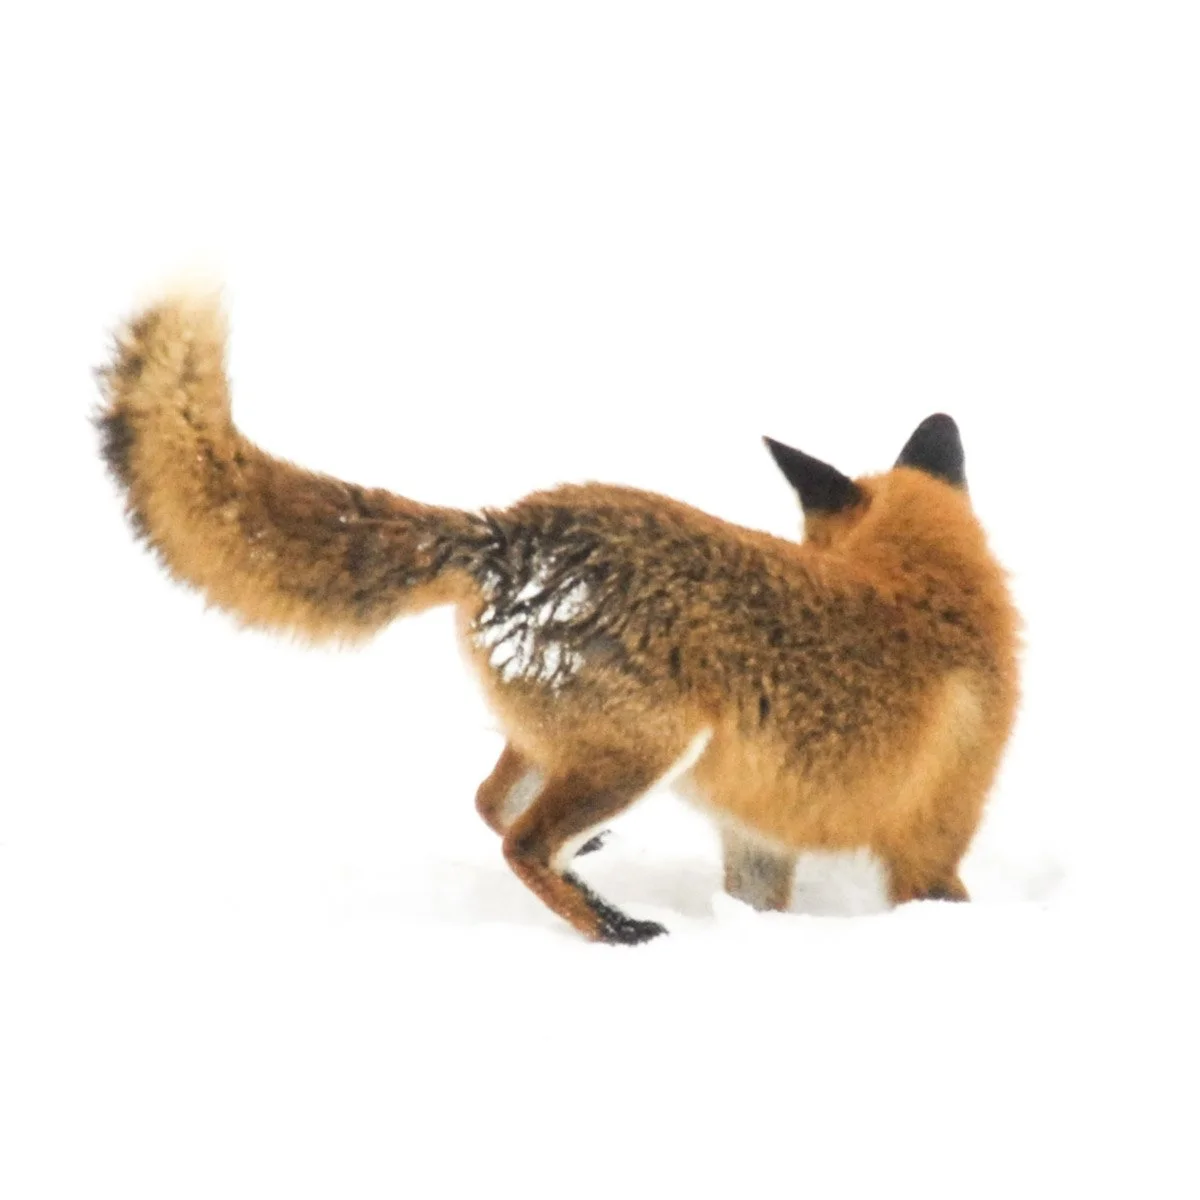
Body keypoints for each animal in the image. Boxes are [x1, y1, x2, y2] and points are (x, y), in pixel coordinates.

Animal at [96, 289, 1020, 944]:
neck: (922, 583)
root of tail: (507, 530)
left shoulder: (758, 840)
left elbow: (757, 902)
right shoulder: (931, 842)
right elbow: (937, 893)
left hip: (562, 743)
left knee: (487, 803)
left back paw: (591, 876)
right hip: (644, 748)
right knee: (522, 843)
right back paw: (617, 930)